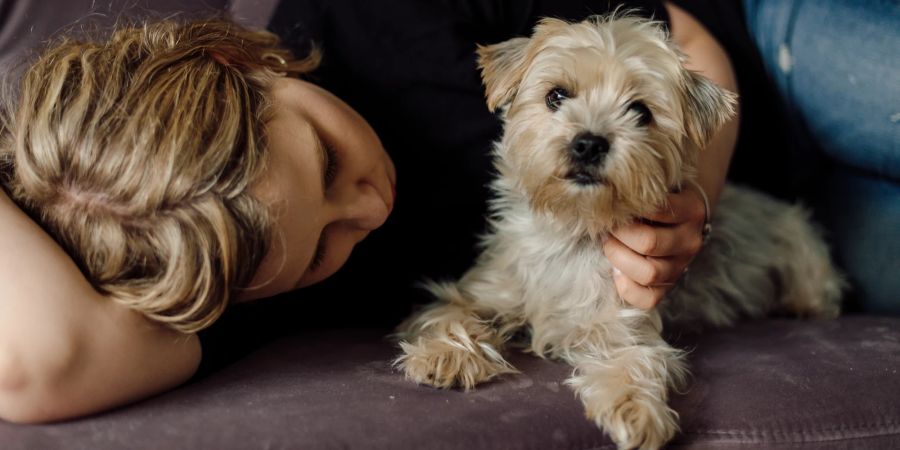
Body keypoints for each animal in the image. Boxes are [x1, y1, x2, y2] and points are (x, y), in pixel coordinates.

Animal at [394, 14, 844, 450]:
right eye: (556, 96)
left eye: (640, 111)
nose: (589, 143)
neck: (574, 228)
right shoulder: (482, 292)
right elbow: (450, 314)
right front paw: (446, 355)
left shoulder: (627, 324)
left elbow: (635, 362)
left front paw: (636, 410)